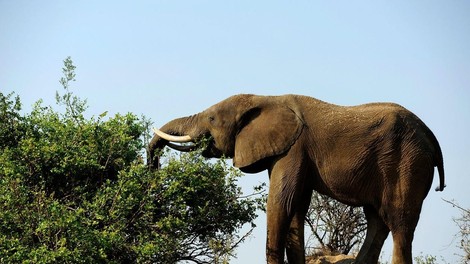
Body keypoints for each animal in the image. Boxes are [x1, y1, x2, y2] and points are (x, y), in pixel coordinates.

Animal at [150, 94, 444, 264]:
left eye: (211, 118)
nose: (153, 170)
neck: (265, 97)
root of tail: (431, 136)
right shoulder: (287, 151)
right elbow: (296, 208)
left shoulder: (293, 148)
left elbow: (281, 202)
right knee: (378, 221)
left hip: (408, 163)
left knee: (400, 224)